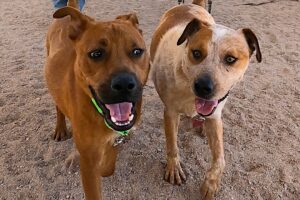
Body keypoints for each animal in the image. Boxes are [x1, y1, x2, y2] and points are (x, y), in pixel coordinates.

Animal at [44, 1, 150, 198]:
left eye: (137, 51)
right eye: (96, 54)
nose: (124, 84)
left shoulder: (114, 140)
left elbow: (108, 166)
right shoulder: (89, 165)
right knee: (58, 106)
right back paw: (60, 128)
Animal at [151, 0, 262, 198]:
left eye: (230, 59)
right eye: (196, 53)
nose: (203, 87)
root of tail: (189, 5)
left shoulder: (215, 115)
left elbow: (220, 158)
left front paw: (211, 183)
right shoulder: (170, 112)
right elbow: (172, 144)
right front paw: (174, 168)